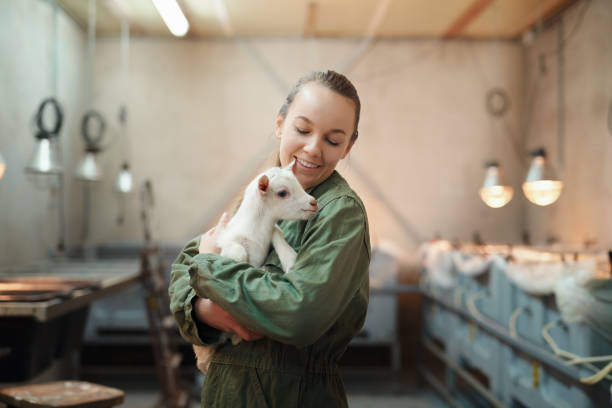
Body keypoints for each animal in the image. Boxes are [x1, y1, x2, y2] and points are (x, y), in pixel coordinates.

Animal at [192, 160, 318, 372]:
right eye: (282, 193)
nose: (313, 202)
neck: (255, 232)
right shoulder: (227, 243)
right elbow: (237, 253)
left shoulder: (270, 233)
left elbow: (278, 233)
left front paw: (288, 260)